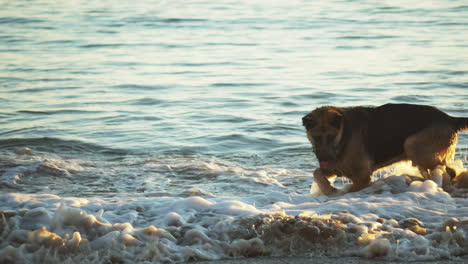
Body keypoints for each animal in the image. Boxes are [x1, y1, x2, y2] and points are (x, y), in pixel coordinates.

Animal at [302, 104, 466, 195]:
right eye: (316, 137)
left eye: (331, 137)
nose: (324, 159)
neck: (343, 133)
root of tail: (450, 119)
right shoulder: (338, 167)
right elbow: (316, 172)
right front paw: (327, 189)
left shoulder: (362, 176)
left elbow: (350, 190)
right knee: (447, 171)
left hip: (412, 144)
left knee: (446, 171)